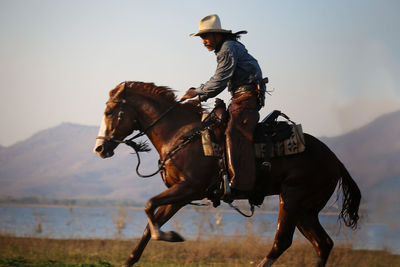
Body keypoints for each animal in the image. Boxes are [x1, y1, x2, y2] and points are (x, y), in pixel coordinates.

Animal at [94, 82, 362, 267]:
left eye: (109, 112)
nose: (100, 149)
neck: (181, 134)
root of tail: (335, 160)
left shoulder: (188, 188)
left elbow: (149, 206)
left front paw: (169, 235)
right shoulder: (180, 196)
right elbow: (149, 226)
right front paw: (145, 249)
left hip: (293, 200)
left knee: (282, 241)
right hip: (306, 211)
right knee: (323, 244)